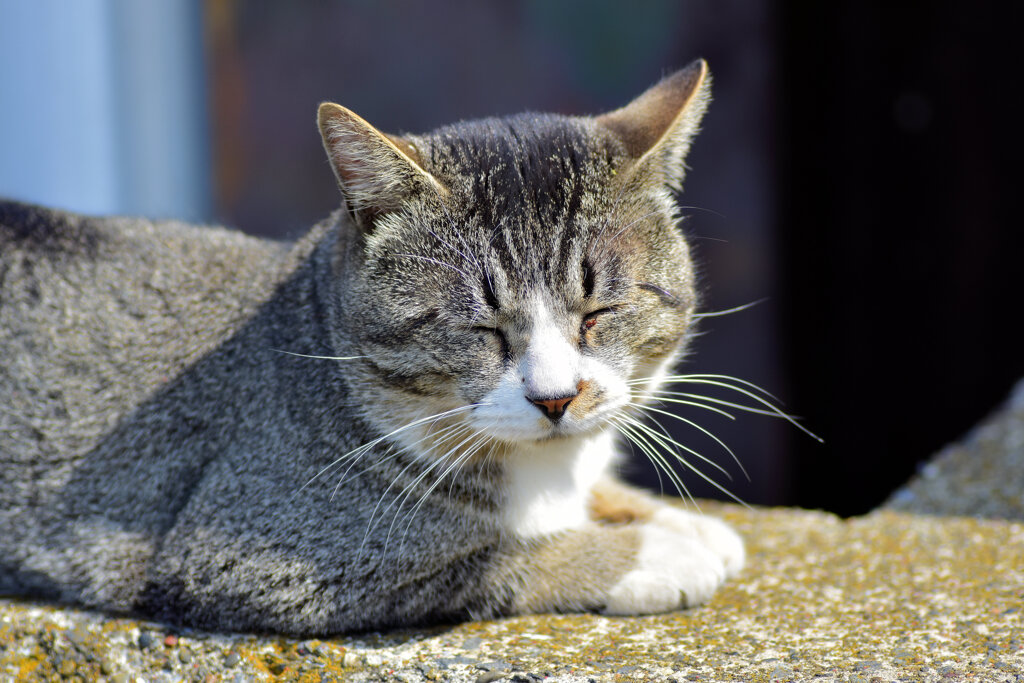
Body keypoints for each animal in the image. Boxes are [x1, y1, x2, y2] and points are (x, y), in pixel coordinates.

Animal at [2, 60, 753, 634]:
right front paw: (650, 551)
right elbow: (495, 556)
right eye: (480, 328)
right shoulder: (256, 557)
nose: (556, 398)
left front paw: (673, 518)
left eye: (599, 313)